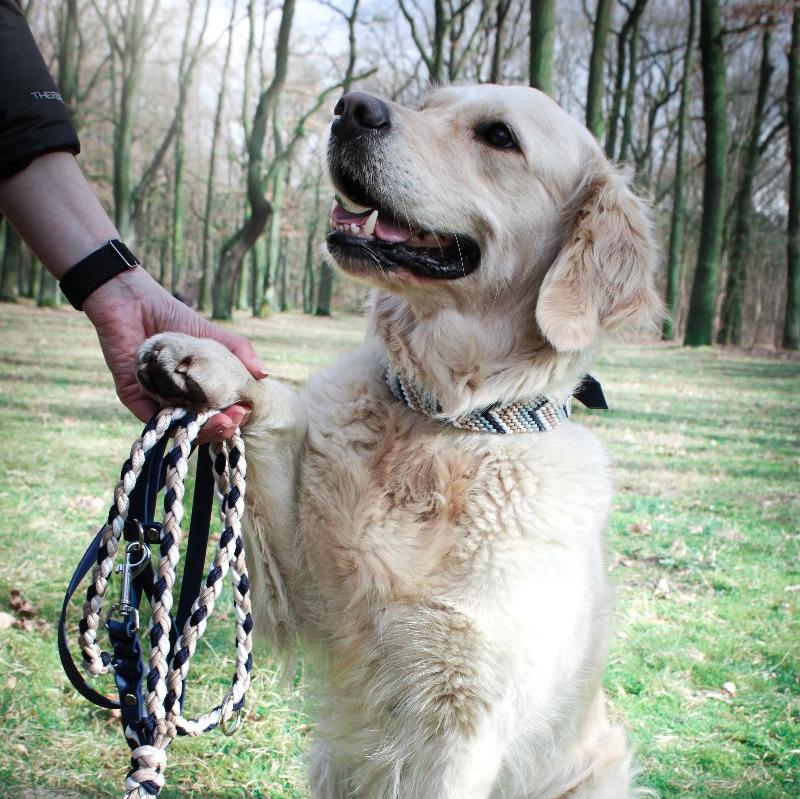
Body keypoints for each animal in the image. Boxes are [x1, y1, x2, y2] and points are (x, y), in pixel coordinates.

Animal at [138, 84, 660, 796]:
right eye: (431, 101)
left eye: (500, 136)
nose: (352, 107)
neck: (440, 424)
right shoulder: (305, 590)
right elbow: (274, 412)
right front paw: (207, 363)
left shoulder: (464, 721)